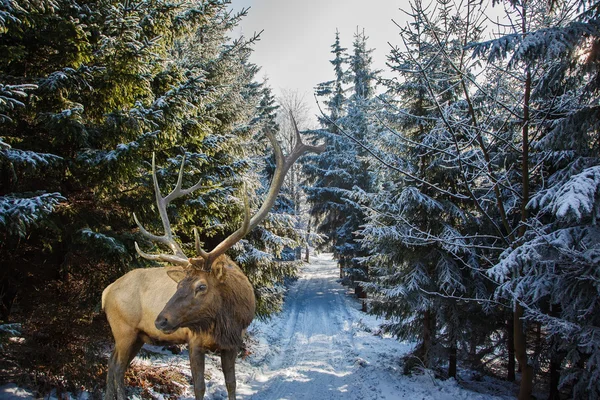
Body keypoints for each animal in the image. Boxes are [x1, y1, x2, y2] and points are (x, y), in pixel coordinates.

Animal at [102, 126, 324, 400]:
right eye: (178, 286)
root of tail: (105, 292)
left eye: (201, 286)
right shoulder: (194, 340)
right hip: (124, 328)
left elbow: (231, 383)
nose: (161, 320)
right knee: (117, 368)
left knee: (111, 364)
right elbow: (199, 387)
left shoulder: (233, 343)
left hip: (137, 335)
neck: (224, 319)